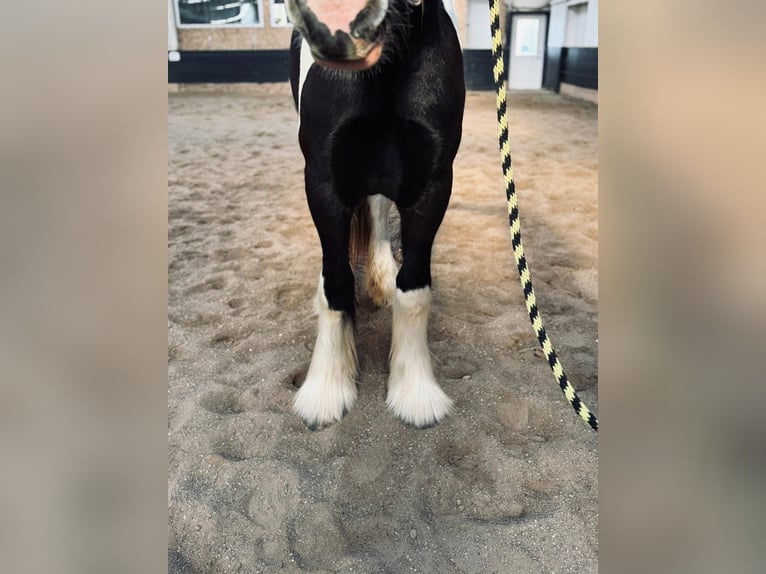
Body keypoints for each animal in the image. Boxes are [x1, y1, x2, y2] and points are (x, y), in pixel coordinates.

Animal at [285, 0, 465, 428]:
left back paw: (382, 280)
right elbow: (335, 284)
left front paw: (415, 393)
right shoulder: (323, 182)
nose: (334, 22)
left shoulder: (433, 183)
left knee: (379, 208)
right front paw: (326, 391)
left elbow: (414, 287)